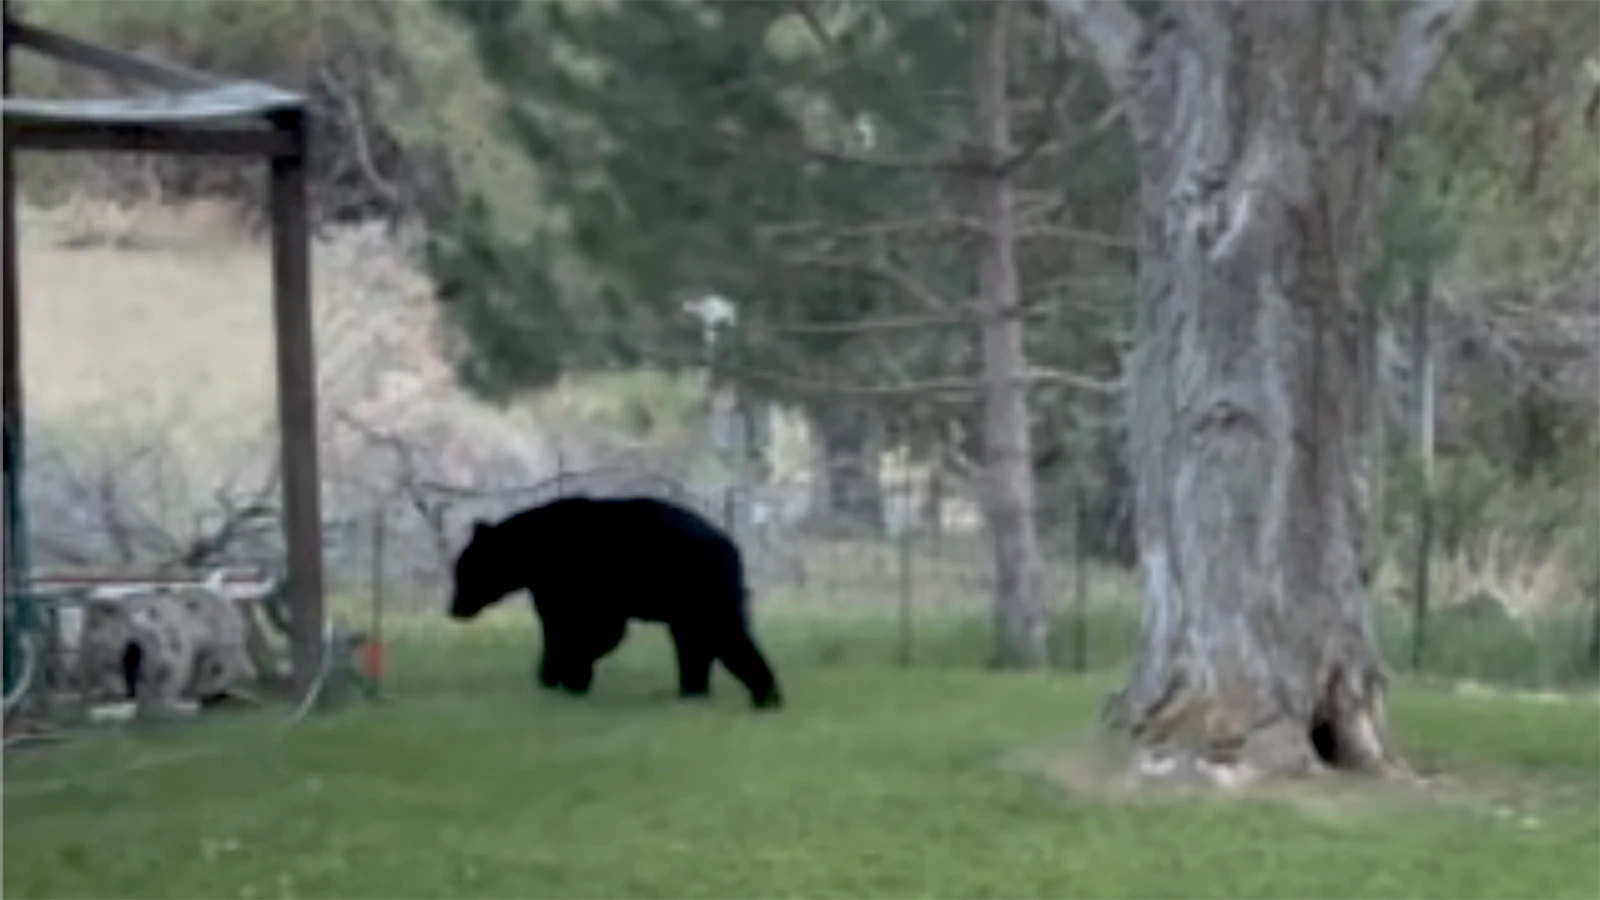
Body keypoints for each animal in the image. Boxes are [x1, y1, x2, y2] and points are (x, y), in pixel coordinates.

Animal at [446, 494, 783, 710]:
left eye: (462, 571)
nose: (453, 608)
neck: (529, 553)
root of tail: (732, 548)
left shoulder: (575, 581)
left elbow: (590, 629)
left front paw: (569, 673)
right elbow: (566, 629)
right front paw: (559, 677)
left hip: (696, 586)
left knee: (722, 636)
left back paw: (763, 696)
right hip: (691, 601)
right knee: (697, 642)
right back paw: (696, 691)